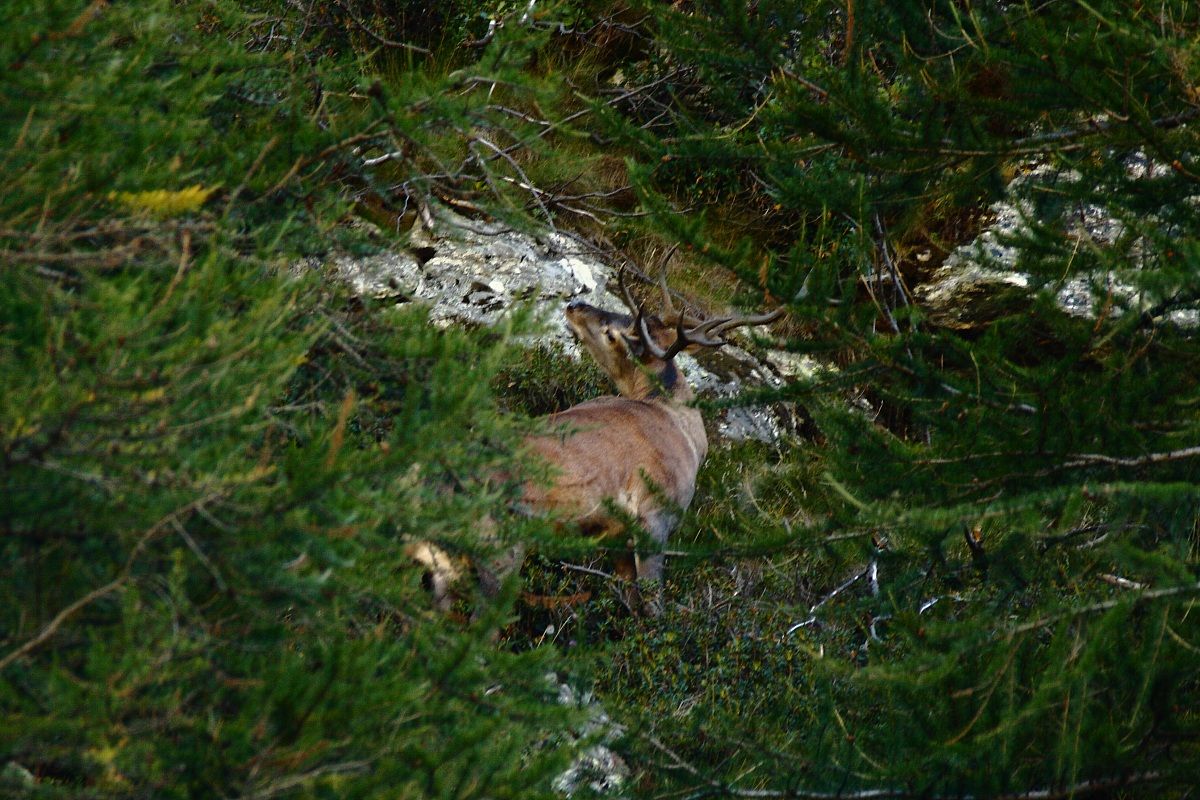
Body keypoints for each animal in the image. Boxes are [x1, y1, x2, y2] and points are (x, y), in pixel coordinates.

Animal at [408, 269, 784, 615]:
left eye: (613, 332)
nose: (575, 305)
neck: (686, 432)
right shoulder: (655, 513)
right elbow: (653, 606)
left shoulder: (619, 534)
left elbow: (631, 602)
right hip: (497, 547)